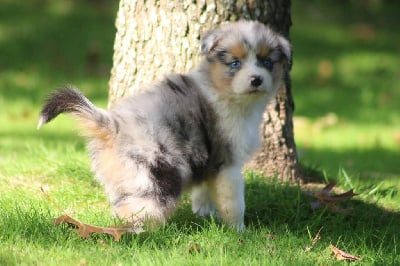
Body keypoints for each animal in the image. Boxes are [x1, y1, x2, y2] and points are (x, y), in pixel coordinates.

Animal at [37, 21, 290, 232]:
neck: (223, 92)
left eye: (267, 62)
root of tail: (113, 125)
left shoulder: (208, 160)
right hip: (154, 177)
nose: (256, 79)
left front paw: (205, 214)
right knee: (137, 210)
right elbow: (235, 203)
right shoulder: (228, 165)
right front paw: (240, 231)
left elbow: (204, 191)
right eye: (235, 63)